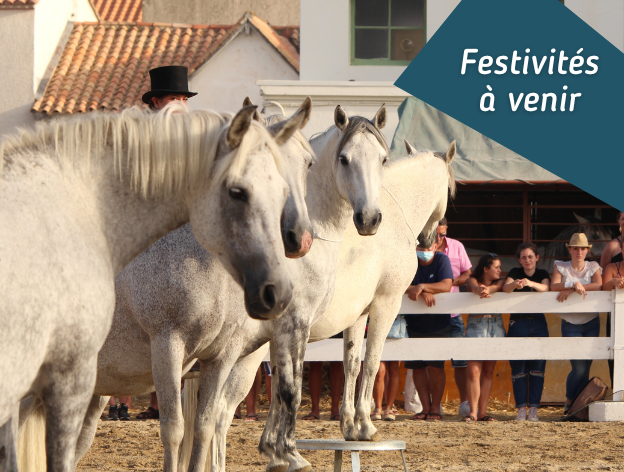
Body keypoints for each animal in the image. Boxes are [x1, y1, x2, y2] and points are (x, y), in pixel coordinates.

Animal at [0, 104, 300, 472]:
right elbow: (174, 430)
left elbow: (203, 427)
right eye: (237, 191)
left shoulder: (221, 357)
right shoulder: (167, 346)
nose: (277, 288)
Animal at [197, 138, 456, 470]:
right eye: (450, 190)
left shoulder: (356, 316)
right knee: (220, 411)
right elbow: (372, 362)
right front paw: (365, 425)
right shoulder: (386, 304)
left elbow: (351, 364)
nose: (428, 240)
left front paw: (347, 426)